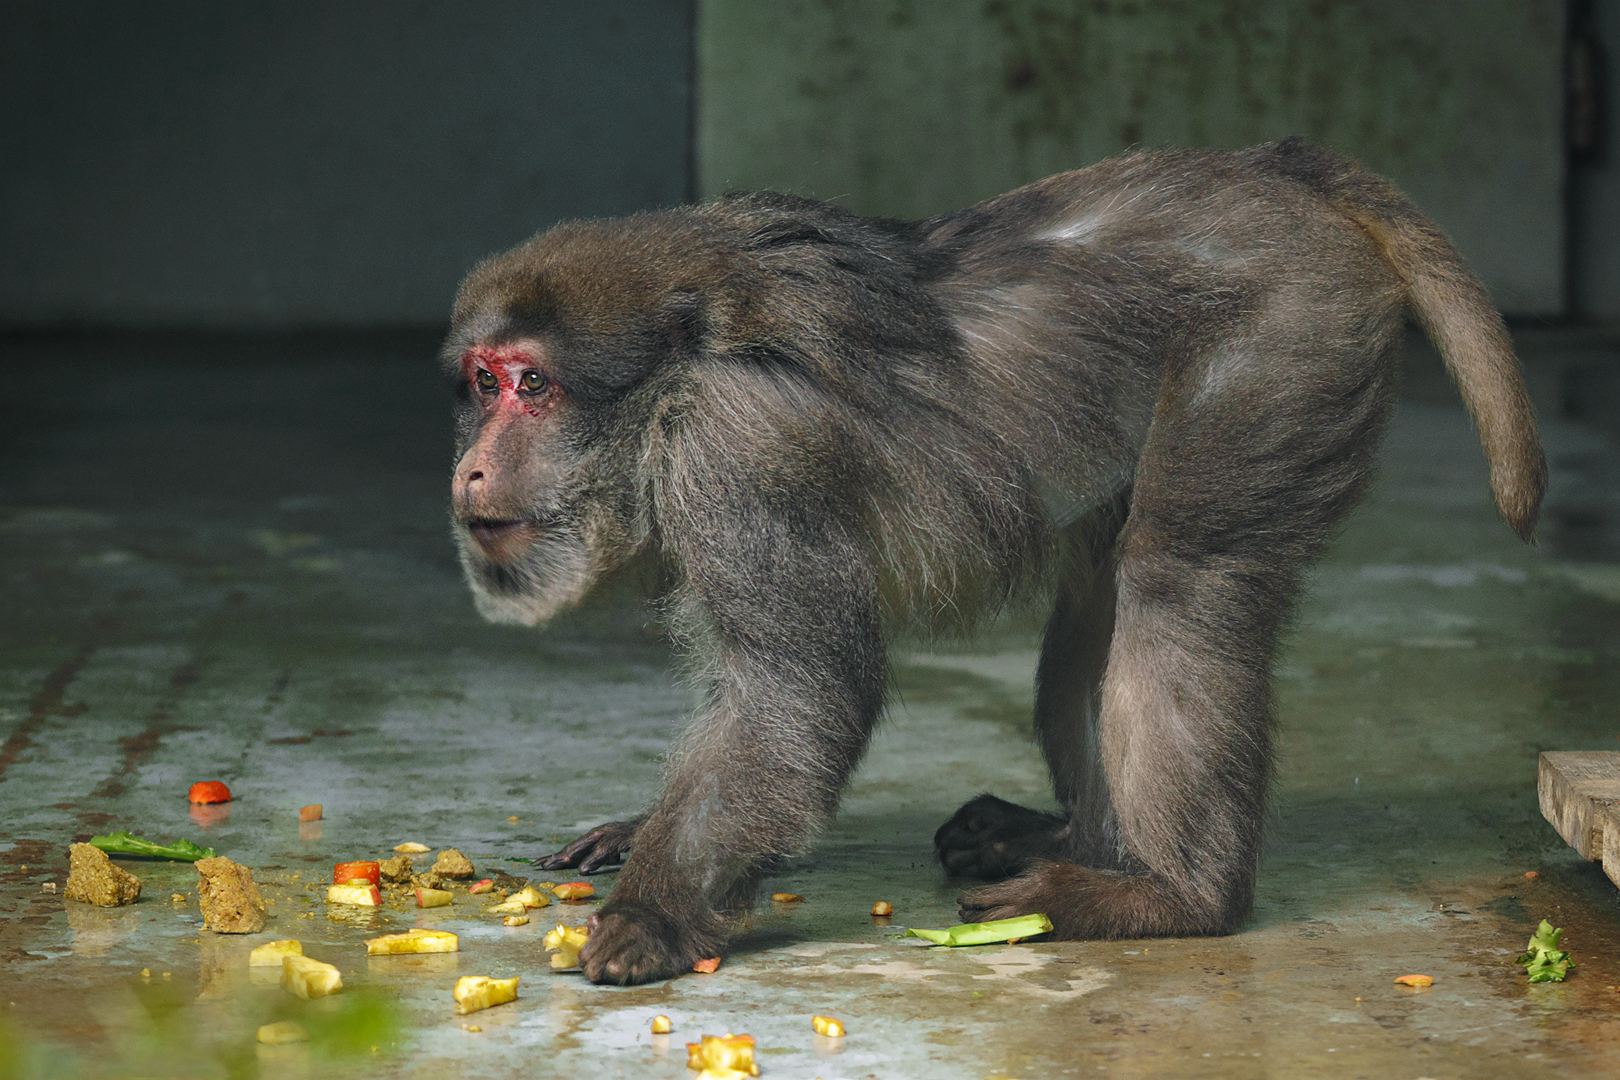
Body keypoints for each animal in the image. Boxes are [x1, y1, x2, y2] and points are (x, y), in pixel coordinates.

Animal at [442, 139, 1544, 986]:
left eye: (532, 386)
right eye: (482, 383)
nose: (470, 468)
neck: (675, 382)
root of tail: (1277, 171)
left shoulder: (739, 455)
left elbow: (799, 693)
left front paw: (653, 916)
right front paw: (642, 835)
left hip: (1285, 339)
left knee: (1178, 579)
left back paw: (1173, 898)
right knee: (1100, 600)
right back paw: (1071, 843)